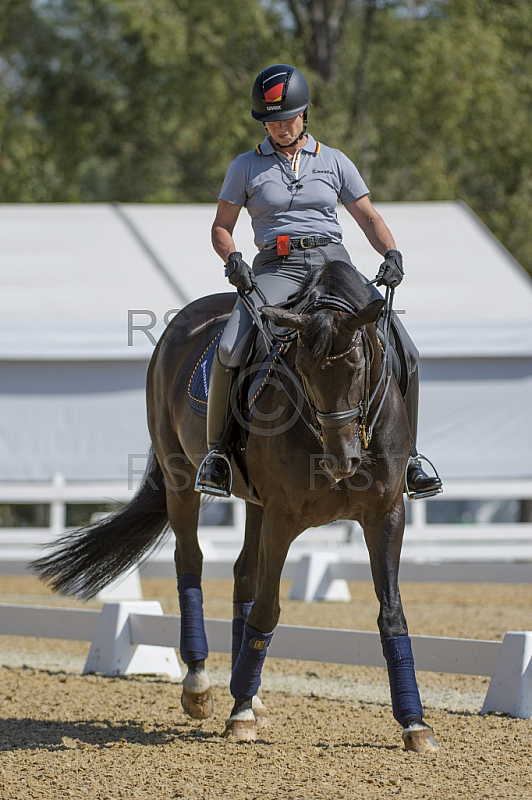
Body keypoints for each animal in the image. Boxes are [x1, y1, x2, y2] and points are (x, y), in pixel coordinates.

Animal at [34, 260, 440, 752]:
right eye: (302, 372)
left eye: (359, 365)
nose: (342, 461)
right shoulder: (284, 515)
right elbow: (267, 609)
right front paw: (239, 714)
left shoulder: (386, 516)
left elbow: (392, 614)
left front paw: (414, 724)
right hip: (182, 482)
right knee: (190, 561)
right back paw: (201, 688)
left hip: (256, 504)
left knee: (243, 574)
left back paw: (249, 693)